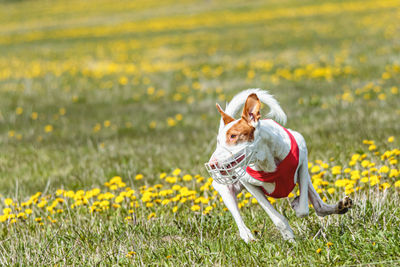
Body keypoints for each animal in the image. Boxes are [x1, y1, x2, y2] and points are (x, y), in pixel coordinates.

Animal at [206, 89, 354, 243]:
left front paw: (297, 206)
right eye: (218, 141)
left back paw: (339, 206)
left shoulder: (303, 162)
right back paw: (248, 236)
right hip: (225, 189)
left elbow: (304, 209)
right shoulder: (249, 184)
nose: (211, 164)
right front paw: (290, 238)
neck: (266, 160)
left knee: (319, 206)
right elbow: (277, 218)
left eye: (233, 136)